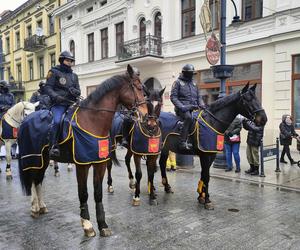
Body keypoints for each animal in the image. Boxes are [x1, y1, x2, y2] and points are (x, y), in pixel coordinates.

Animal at [17, 64, 148, 236]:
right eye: (138, 87)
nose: (146, 115)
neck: (92, 121)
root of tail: (26, 120)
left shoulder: (99, 163)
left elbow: (98, 193)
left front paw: (102, 225)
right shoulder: (82, 164)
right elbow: (83, 193)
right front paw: (87, 224)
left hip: (43, 160)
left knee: (38, 180)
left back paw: (41, 206)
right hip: (33, 158)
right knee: (33, 180)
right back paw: (34, 207)